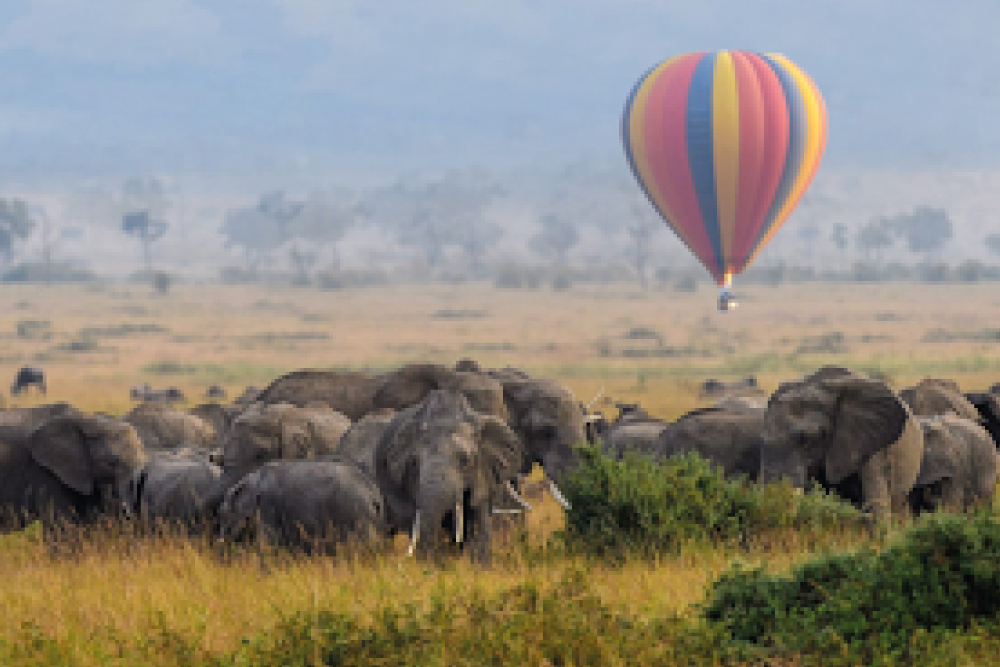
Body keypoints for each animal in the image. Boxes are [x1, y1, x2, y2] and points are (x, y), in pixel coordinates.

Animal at [219, 460, 386, 552]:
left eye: (223, 514)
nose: (220, 543)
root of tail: (374, 494)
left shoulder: (268, 504)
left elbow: (269, 542)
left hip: (355, 511)